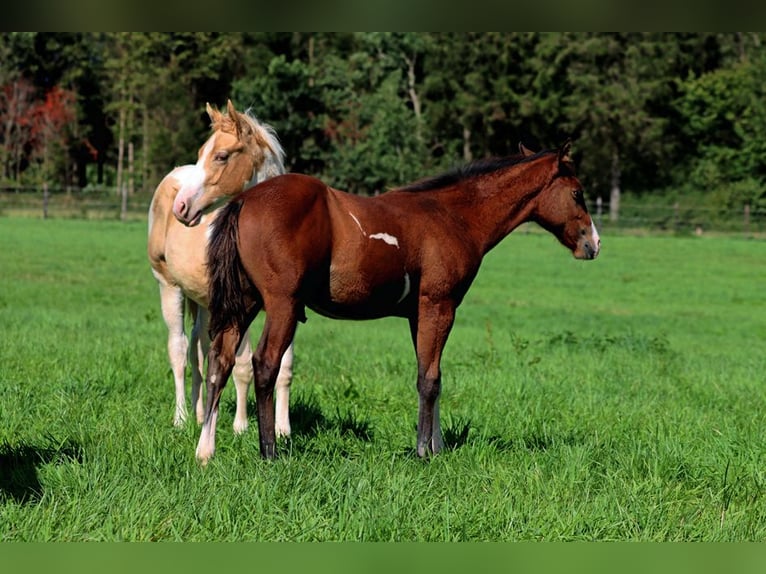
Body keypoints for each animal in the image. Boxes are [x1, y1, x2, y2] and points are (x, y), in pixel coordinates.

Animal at [148, 101, 296, 438]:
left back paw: (200, 414)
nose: (181, 207)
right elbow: (242, 365)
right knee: (179, 350)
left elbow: (285, 366)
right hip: (168, 286)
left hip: (205, 302)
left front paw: (283, 429)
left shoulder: (289, 306)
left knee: (198, 351)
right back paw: (181, 418)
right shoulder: (240, 307)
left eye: (221, 156)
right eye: (202, 152)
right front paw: (241, 427)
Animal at [196, 142, 600, 466]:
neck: (453, 216)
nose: (593, 244)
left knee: (220, 363)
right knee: (265, 365)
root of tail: (244, 200)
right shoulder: (439, 305)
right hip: (282, 305)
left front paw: (437, 445)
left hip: (244, 305)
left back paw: (205, 452)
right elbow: (429, 380)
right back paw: (270, 453)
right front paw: (424, 451)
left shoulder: (417, 314)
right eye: (577, 193)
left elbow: (433, 373)